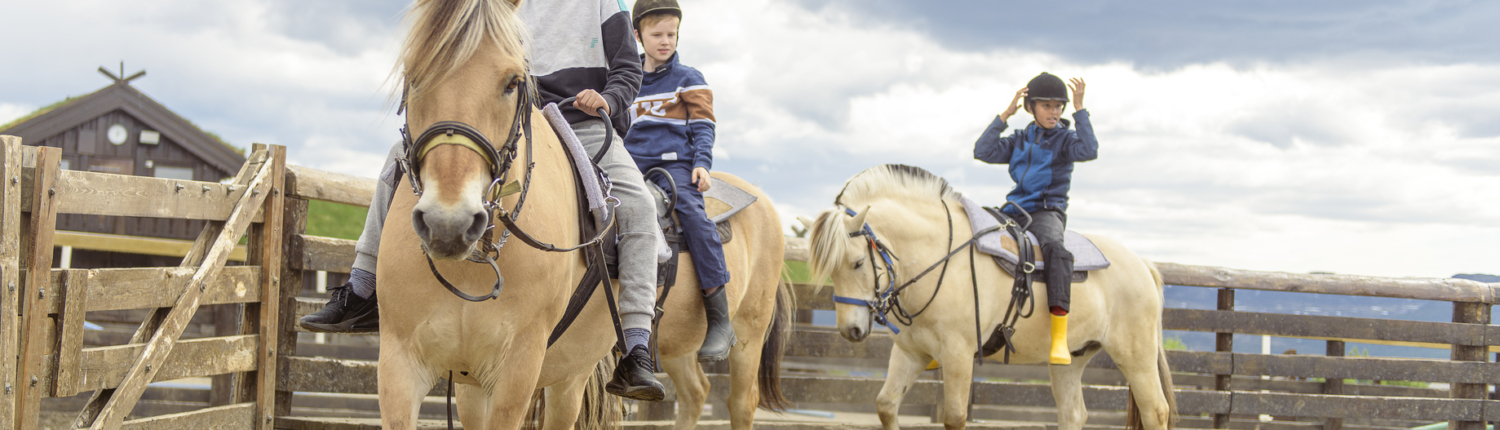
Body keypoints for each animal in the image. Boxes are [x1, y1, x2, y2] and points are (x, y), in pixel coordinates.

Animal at [381, 1, 792, 428]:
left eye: (512, 82)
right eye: (413, 75)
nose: (449, 224)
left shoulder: (515, 373)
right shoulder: (416, 369)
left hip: (745, 334)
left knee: (741, 401)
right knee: (696, 392)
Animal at [804, 166, 1176, 430]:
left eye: (857, 262)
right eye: (832, 271)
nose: (851, 331)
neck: (941, 256)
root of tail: (1142, 263)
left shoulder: (958, 355)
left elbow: (954, 417)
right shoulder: (911, 352)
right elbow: (885, 406)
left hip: (1136, 357)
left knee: (1156, 411)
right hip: (1071, 360)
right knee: (1073, 414)